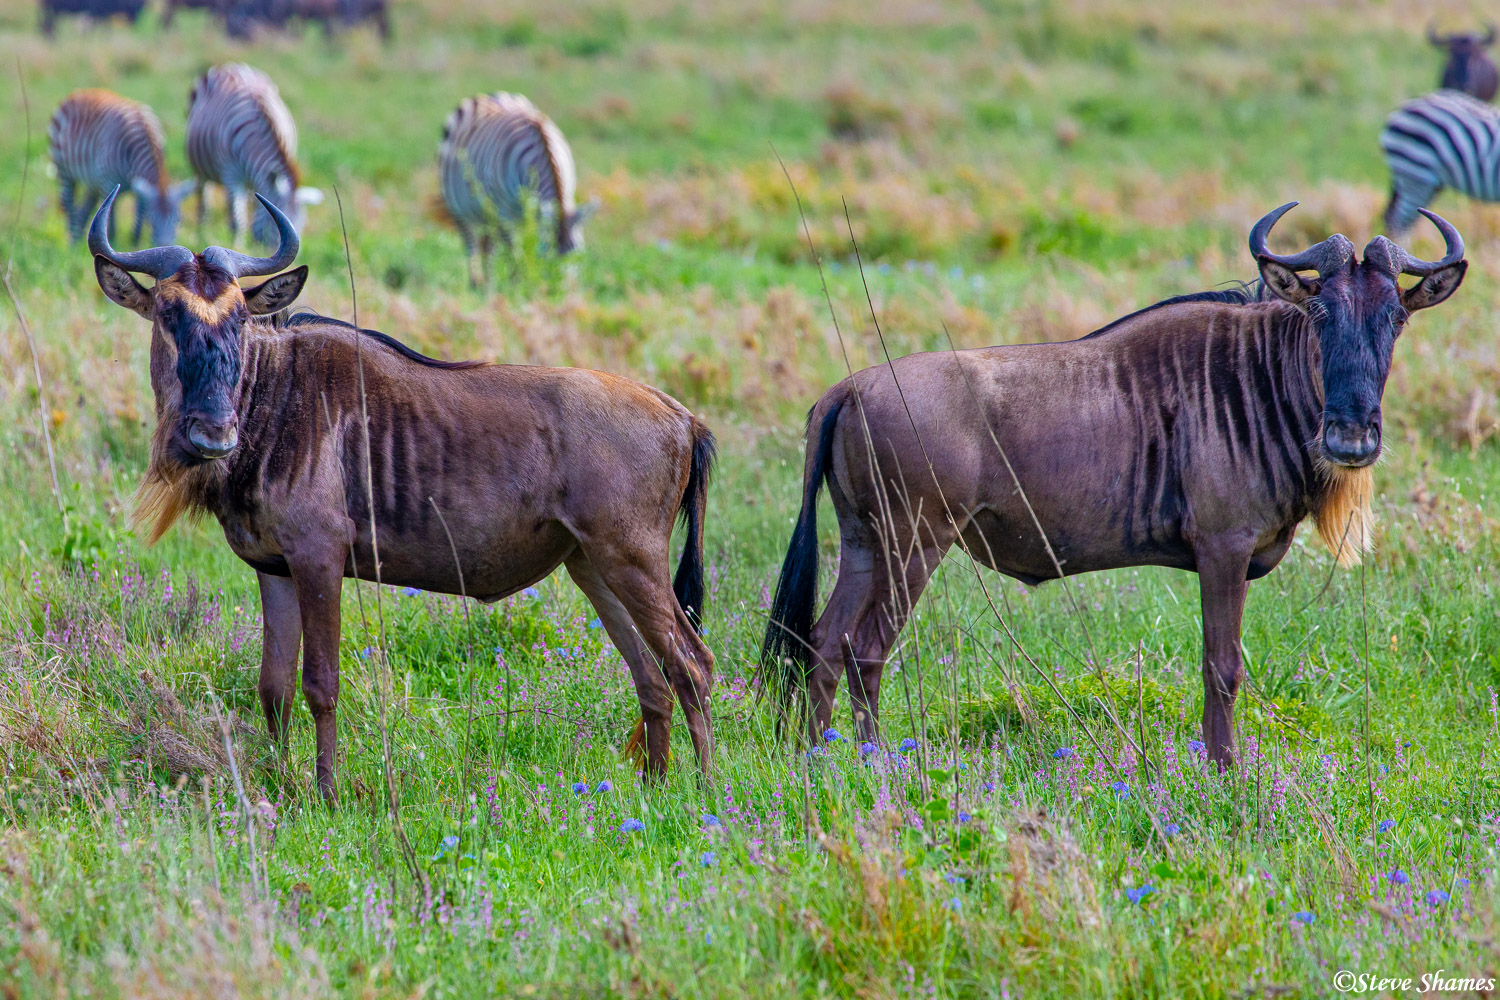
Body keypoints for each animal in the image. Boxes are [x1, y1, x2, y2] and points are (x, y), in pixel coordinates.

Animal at [49, 90, 192, 245]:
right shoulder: (107, 183)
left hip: (92, 181)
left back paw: (79, 240)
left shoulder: (138, 188)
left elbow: (138, 218)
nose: (165, 246)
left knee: (84, 209)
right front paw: (114, 243)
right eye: (151, 220)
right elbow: (111, 225)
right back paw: (73, 242)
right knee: (68, 202)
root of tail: (78, 92)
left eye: (178, 220)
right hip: (64, 171)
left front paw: (135, 243)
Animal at [186, 63, 321, 247]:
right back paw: (201, 234)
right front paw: (237, 247)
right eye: (274, 222)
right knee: (203, 199)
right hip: (200, 168)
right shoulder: (232, 177)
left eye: (301, 225)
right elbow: (237, 222)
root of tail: (233, 66)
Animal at [438, 92, 594, 287]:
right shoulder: (504, 211)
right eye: (547, 252)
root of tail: (486, 96)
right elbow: (514, 250)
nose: (564, 288)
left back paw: (489, 284)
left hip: (492, 213)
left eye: (577, 252)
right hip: (459, 207)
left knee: (488, 245)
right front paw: (519, 284)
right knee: (471, 243)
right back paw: (476, 283)